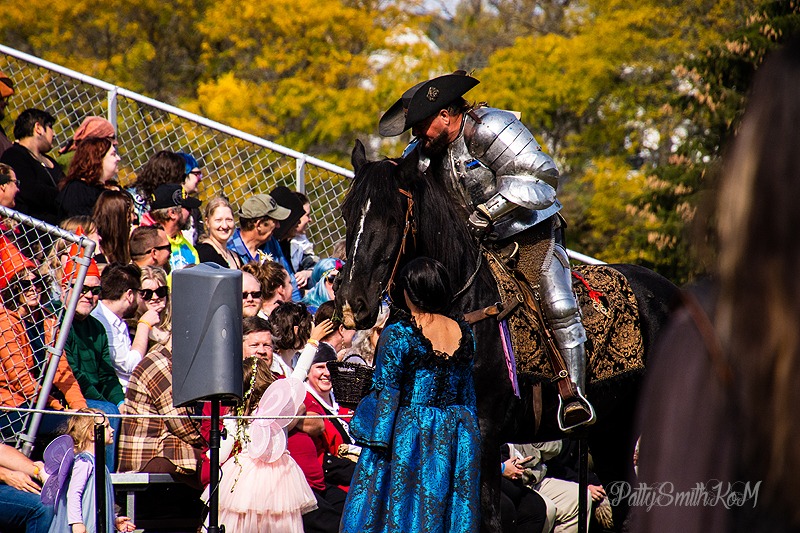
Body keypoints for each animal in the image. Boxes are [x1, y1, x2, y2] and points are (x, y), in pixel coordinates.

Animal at [334, 139, 680, 528]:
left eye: (393, 218)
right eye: (347, 213)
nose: (351, 303)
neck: (454, 303)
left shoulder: (483, 435)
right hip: (611, 432)